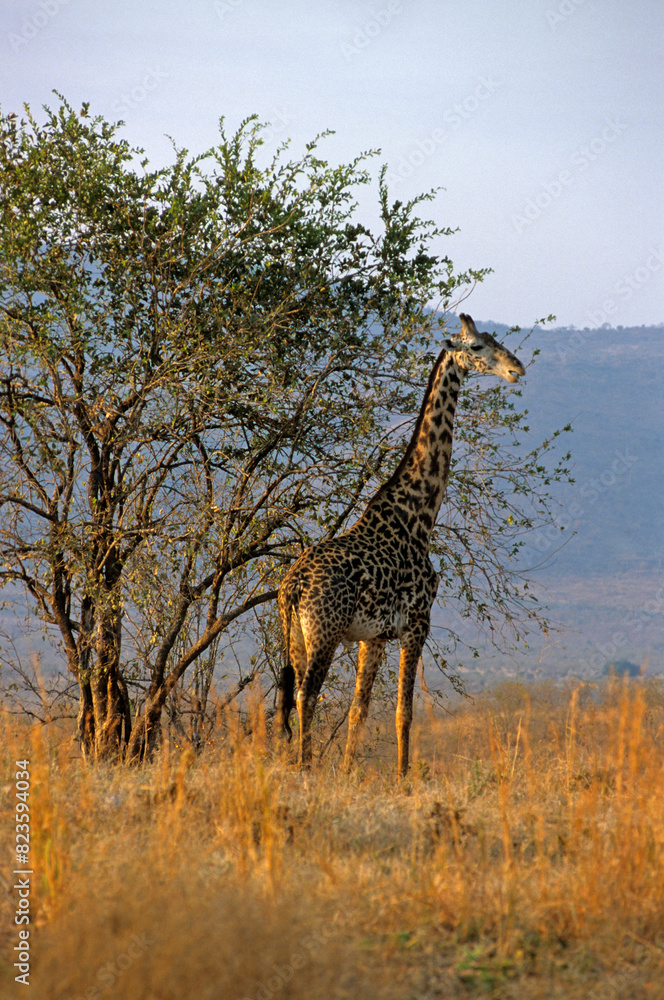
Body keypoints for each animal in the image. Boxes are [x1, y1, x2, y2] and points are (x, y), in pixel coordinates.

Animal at [276, 314, 525, 776]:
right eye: (478, 347)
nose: (516, 368)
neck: (418, 515)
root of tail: (292, 586)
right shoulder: (416, 623)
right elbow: (403, 712)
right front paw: (403, 777)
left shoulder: (372, 635)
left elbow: (359, 710)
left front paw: (347, 774)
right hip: (324, 631)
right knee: (306, 693)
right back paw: (304, 767)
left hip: (296, 635)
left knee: (289, 692)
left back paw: (297, 762)